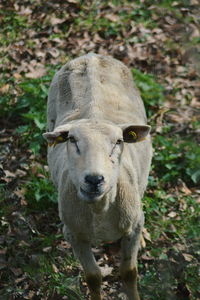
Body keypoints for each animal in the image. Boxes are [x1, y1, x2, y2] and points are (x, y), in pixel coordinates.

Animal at [43, 54, 152, 300]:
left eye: (119, 141)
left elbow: (129, 272)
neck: (100, 210)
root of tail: (91, 56)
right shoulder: (74, 234)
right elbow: (93, 277)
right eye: (72, 140)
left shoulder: (131, 227)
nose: (94, 179)